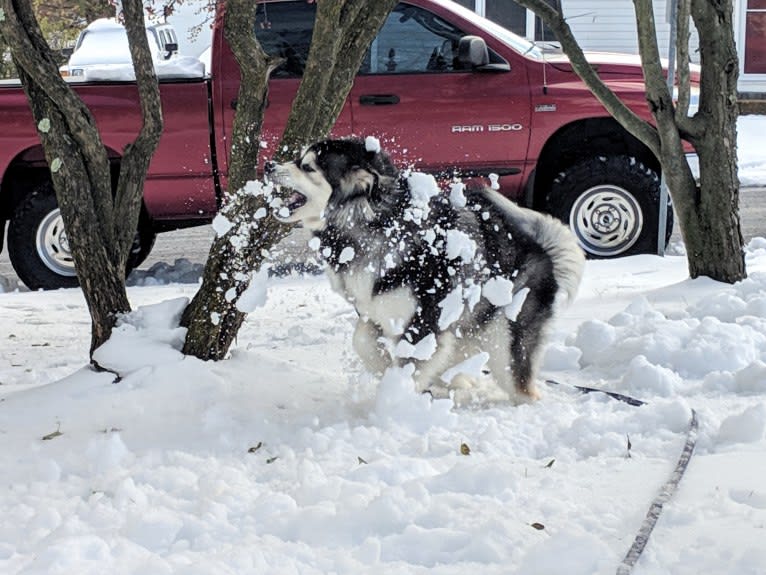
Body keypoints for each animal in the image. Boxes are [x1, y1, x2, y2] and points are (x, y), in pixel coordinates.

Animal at [268, 139, 584, 402]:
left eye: (307, 166)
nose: (269, 165)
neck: (376, 226)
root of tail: (543, 250)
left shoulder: (423, 321)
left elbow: (410, 362)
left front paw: (393, 400)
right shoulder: (374, 311)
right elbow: (363, 341)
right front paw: (386, 369)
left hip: (505, 341)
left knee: (522, 386)